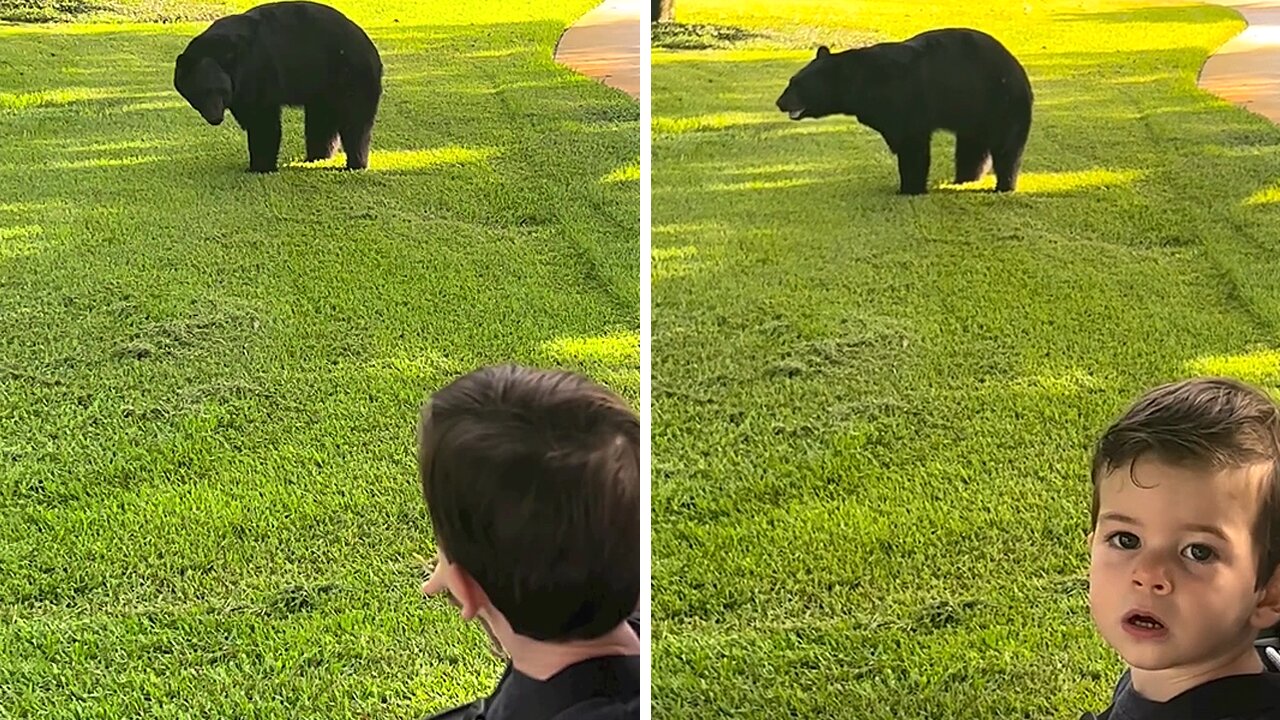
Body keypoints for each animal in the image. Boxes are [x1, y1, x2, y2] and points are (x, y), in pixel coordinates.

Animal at [176, 1, 384, 172]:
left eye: (216, 91)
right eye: (198, 94)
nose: (215, 118)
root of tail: (371, 48)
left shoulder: (257, 72)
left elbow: (262, 120)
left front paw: (259, 167)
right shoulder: (239, 89)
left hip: (351, 75)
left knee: (355, 121)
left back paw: (354, 163)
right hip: (323, 86)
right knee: (321, 120)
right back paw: (316, 157)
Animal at [773, 29, 1034, 193]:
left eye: (797, 85)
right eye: (791, 81)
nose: (780, 102)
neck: (861, 82)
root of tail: (1019, 71)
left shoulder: (905, 101)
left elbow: (912, 146)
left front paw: (909, 188)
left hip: (1000, 104)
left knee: (1006, 148)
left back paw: (1003, 185)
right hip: (973, 113)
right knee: (971, 147)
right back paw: (964, 178)